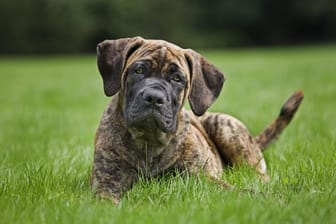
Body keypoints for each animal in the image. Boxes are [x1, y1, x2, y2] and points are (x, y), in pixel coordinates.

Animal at [90, 36, 304, 203]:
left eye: (177, 78)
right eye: (139, 71)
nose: (154, 97)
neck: (148, 142)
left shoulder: (200, 178)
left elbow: (235, 189)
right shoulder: (107, 179)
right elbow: (107, 198)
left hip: (225, 128)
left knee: (259, 175)